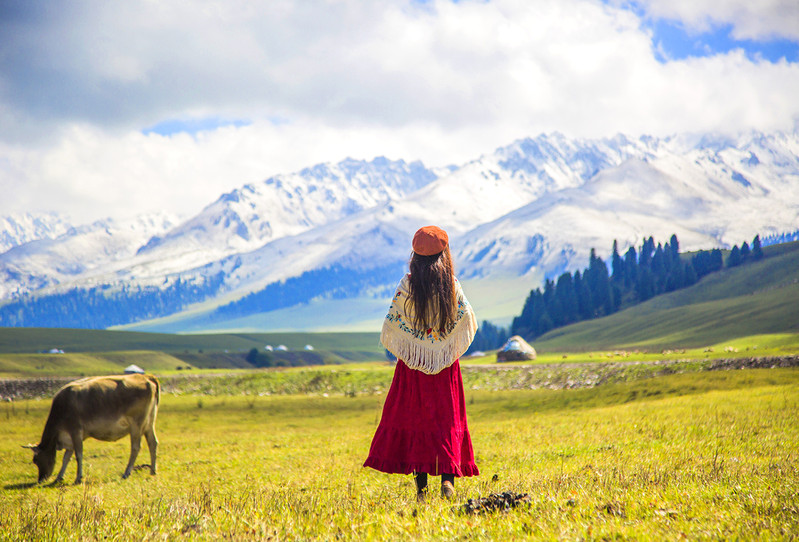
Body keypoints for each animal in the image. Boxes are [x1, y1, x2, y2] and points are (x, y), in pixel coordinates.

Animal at [25, 374, 160, 484]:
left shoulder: (75, 431)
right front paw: (59, 477)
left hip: (136, 424)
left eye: (36, 460)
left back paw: (127, 472)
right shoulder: (69, 438)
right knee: (152, 443)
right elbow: (66, 457)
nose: (41, 479)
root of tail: (146, 377)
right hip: (149, 423)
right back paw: (153, 471)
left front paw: (78, 478)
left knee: (136, 447)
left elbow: (78, 454)